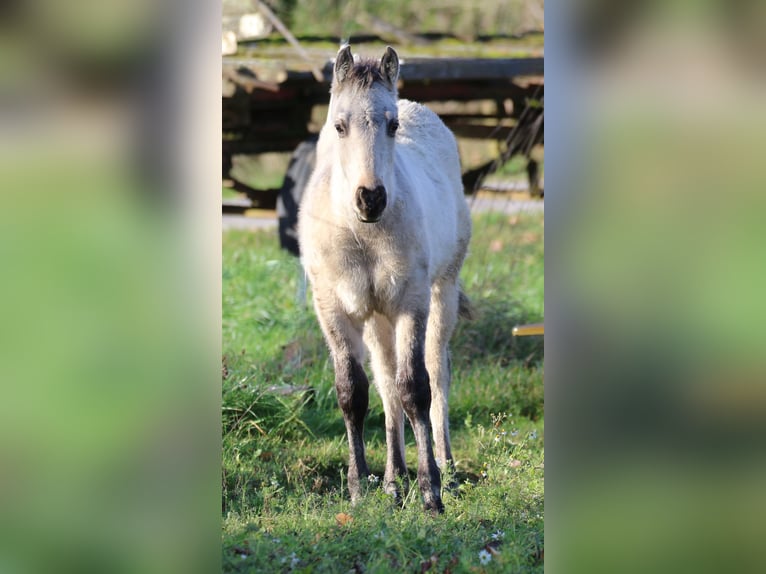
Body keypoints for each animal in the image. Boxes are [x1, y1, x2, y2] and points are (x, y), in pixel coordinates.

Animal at [297, 45, 471, 513]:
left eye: (391, 125)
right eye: (339, 125)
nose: (370, 198)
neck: (362, 233)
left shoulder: (411, 302)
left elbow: (416, 387)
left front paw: (431, 492)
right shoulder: (333, 308)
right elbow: (354, 392)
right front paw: (360, 486)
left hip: (442, 293)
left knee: (437, 371)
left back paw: (447, 466)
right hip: (376, 317)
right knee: (386, 382)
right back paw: (394, 479)